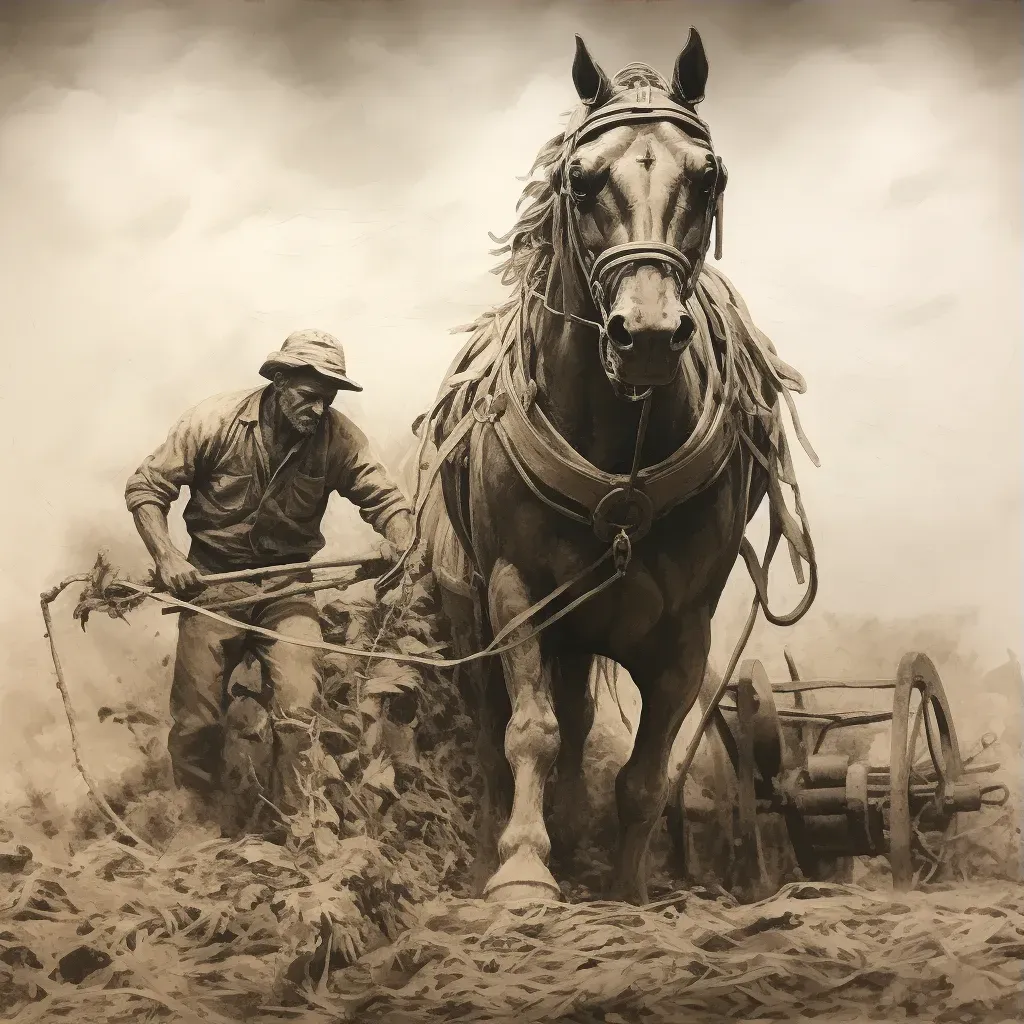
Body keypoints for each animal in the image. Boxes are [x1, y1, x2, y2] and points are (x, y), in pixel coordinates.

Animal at [395, 29, 819, 905]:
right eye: (582, 179)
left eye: (708, 176)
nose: (648, 334)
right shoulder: (517, 593)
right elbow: (529, 733)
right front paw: (522, 869)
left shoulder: (684, 630)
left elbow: (644, 775)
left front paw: (626, 886)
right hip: (471, 613)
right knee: (493, 735)